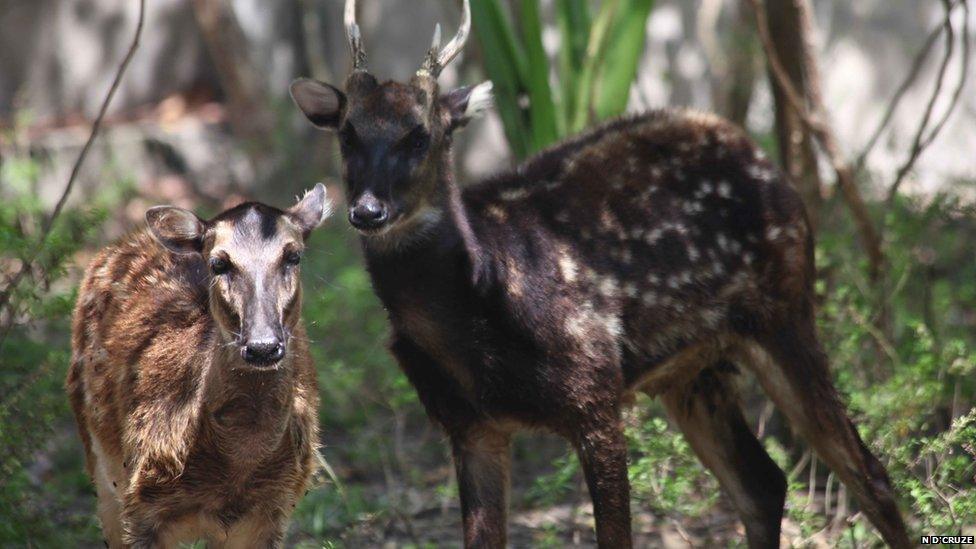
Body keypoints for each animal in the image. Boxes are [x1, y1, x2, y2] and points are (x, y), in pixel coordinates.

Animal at [66, 186, 332, 544]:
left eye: (293, 256)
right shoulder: (142, 504)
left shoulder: (275, 504)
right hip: (99, 461)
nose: (262, 346)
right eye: (219, 263)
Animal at [290, 2, 916, 544]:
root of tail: (761, 156)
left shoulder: (595, 389)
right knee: (762, 484)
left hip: (785, 304)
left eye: (420, 133)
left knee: (870, 475)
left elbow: (615, 537)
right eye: (347, 132)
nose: (368, 211)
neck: (479, 310)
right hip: (691, 368)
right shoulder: (468, 424)